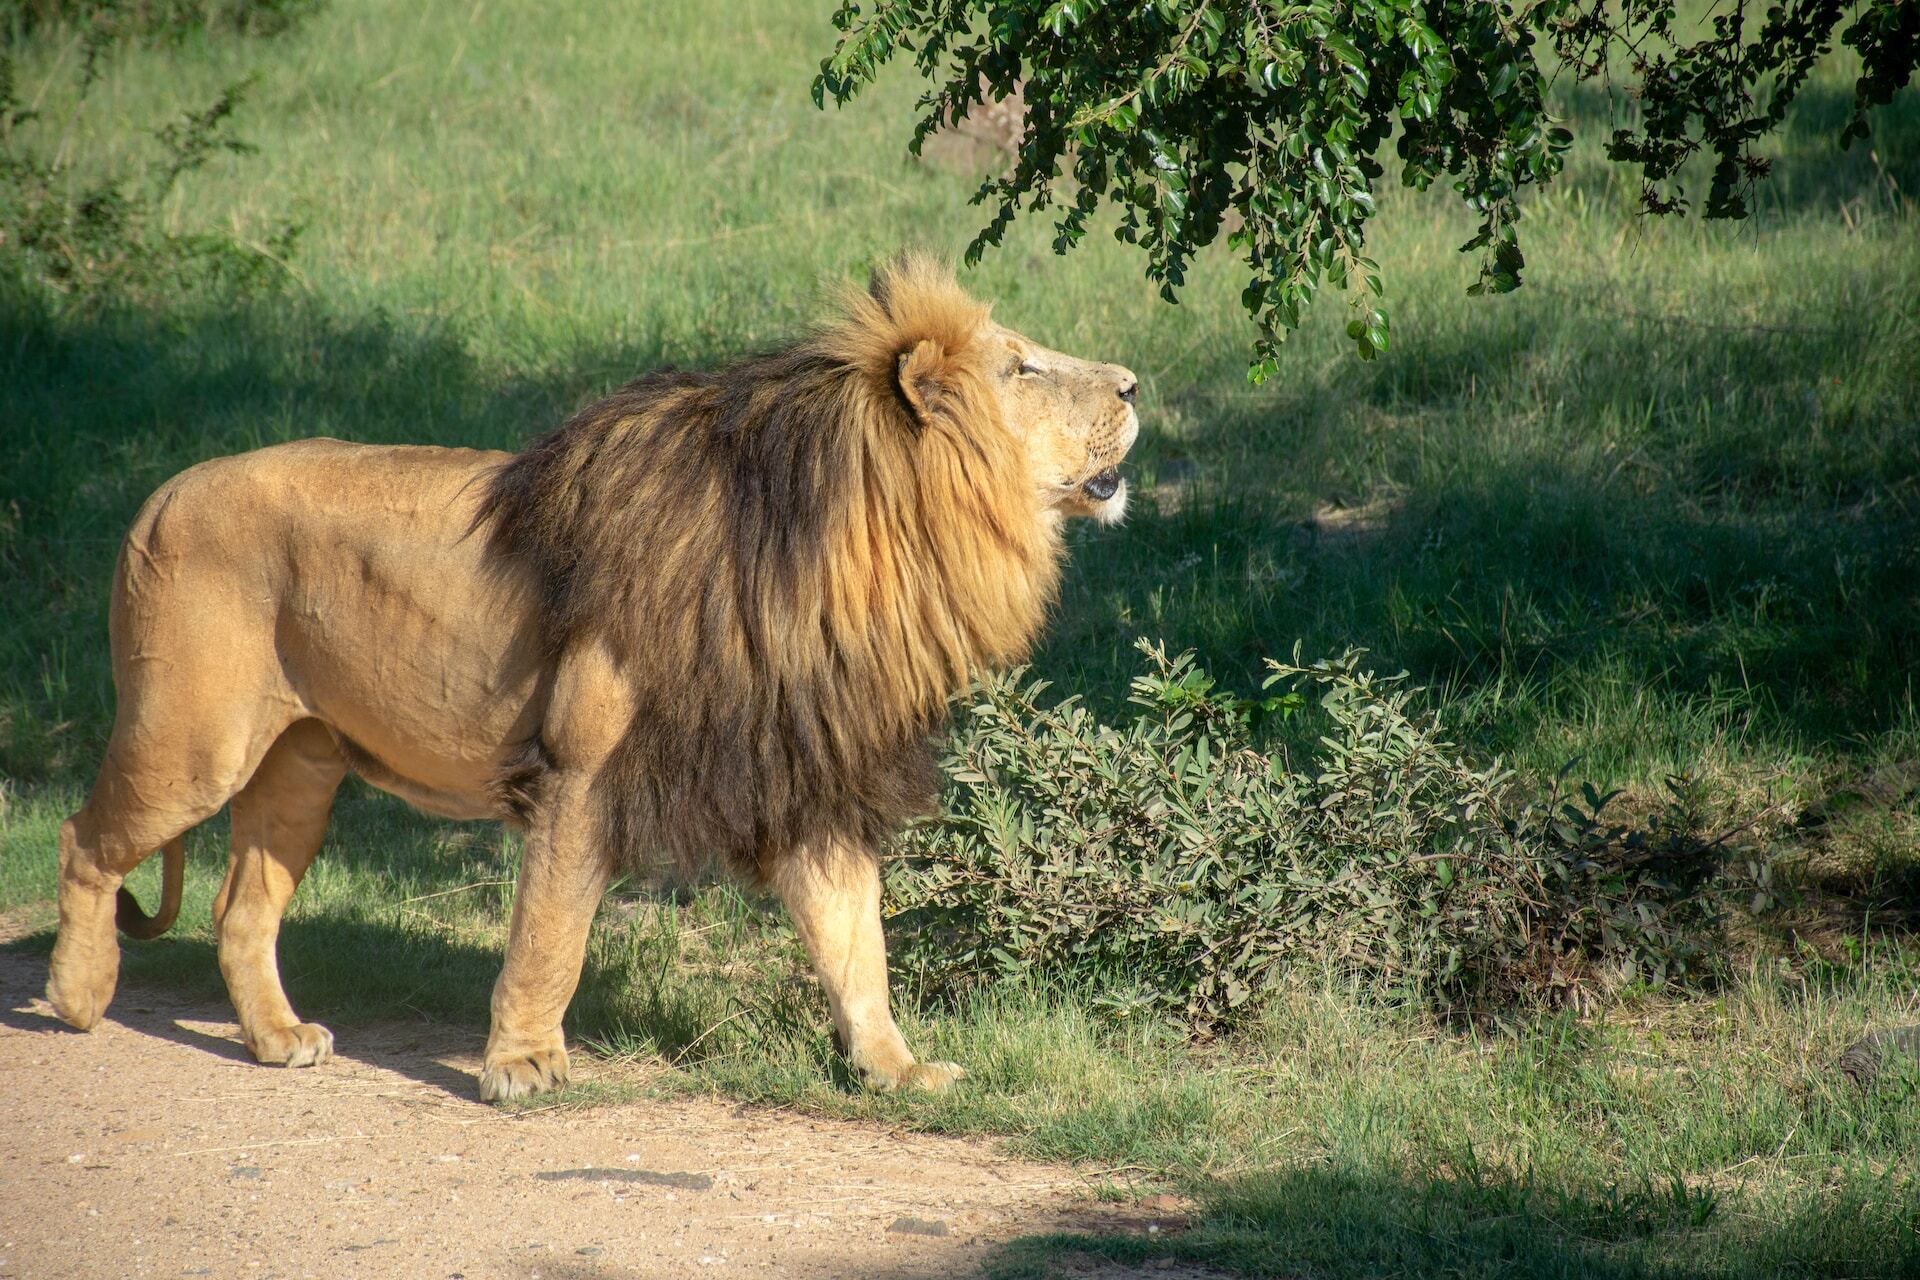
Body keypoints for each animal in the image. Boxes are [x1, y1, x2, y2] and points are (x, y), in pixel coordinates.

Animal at [41, 260, 1136, 1105]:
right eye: (1026, 367)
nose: (1132, 383)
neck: (859, 549)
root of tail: (161, 492)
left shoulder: (800, 776)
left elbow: (856, 943)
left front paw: (895, 1069)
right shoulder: (581, 770)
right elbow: (551, 930)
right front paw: (522, 1064)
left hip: (300, 762)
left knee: (241, 908)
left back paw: (277, 1038)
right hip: (192, 740)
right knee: (86, 839)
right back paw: (80, 997)